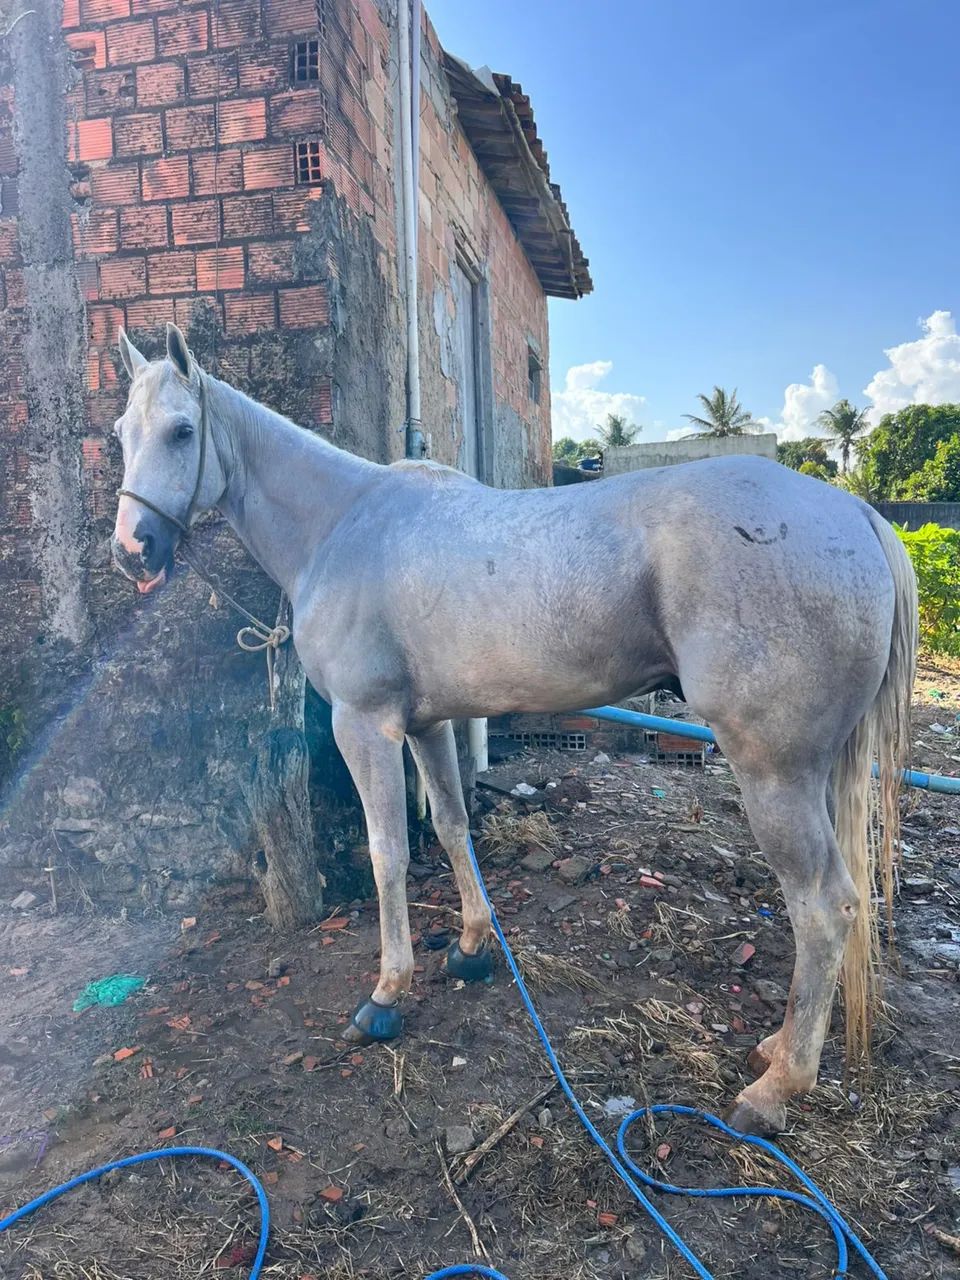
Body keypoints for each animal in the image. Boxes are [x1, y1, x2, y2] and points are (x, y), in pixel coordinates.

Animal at [110, 324, 917, 1136]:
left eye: (182, 432)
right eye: (120, 433)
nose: (132, 549)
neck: (341, 525)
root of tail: (854, 516)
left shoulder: (365, 726)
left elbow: (388, 853)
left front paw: (386, 994)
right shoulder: (427, 725)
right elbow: (452, 826)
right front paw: (471, 947)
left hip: (773, 771)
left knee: (824, 907)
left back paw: (775, 1088)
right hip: (813, 772)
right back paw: (776, 1047)